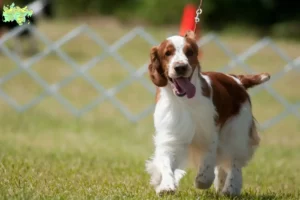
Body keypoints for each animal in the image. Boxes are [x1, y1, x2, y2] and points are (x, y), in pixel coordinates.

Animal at [145, 31, 270, 197]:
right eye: (167, 53)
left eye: (190, 52)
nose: (180, 67)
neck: (185, 101)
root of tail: (237, 79)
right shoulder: (171, 135)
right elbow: (166, 162)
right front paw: (166, 186)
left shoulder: (208, 133)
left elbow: (207, 165)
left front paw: (202, 180)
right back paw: (221, 186)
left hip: (236, 130)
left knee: (234, 161)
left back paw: (231, 189)